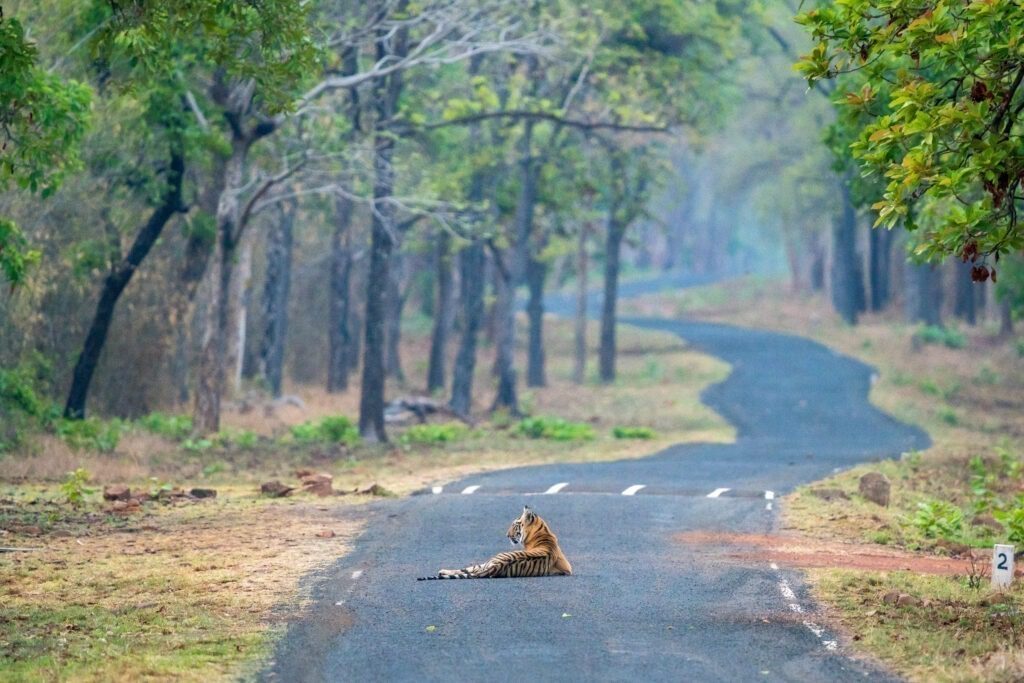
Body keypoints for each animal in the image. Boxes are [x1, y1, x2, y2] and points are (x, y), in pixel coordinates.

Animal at [417, 505, 577, 581]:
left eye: (515, 525)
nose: (506, 535)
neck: (543, 531)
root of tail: (496, 567)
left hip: (487, 562)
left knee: (468, 570)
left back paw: (442, 570)